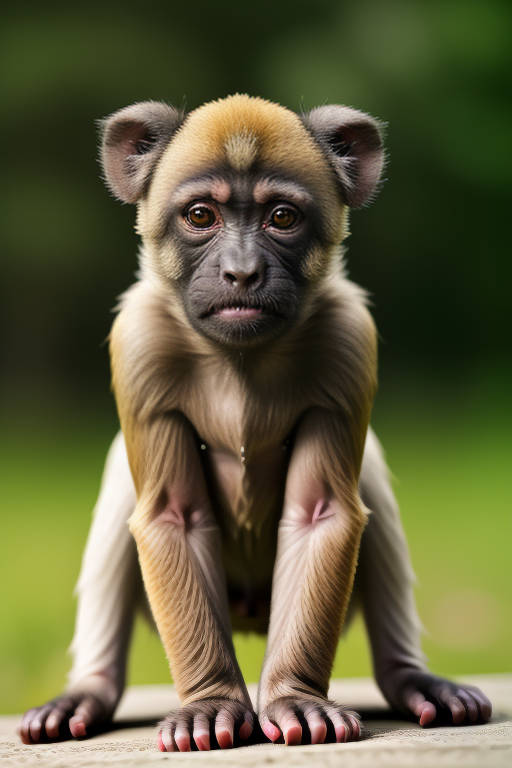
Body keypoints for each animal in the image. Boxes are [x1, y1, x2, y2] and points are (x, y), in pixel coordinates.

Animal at [19, 95, 492, 751]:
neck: (238, 359)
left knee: (367, 475)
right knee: (122, 487)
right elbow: (171, 516)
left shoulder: (348, 340)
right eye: (201, 215)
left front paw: (295, 697)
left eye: (281, 217)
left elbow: (322, 514)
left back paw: (411, 679)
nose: (241, 273)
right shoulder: (140, 343)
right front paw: (212, 701)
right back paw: (89, 690)